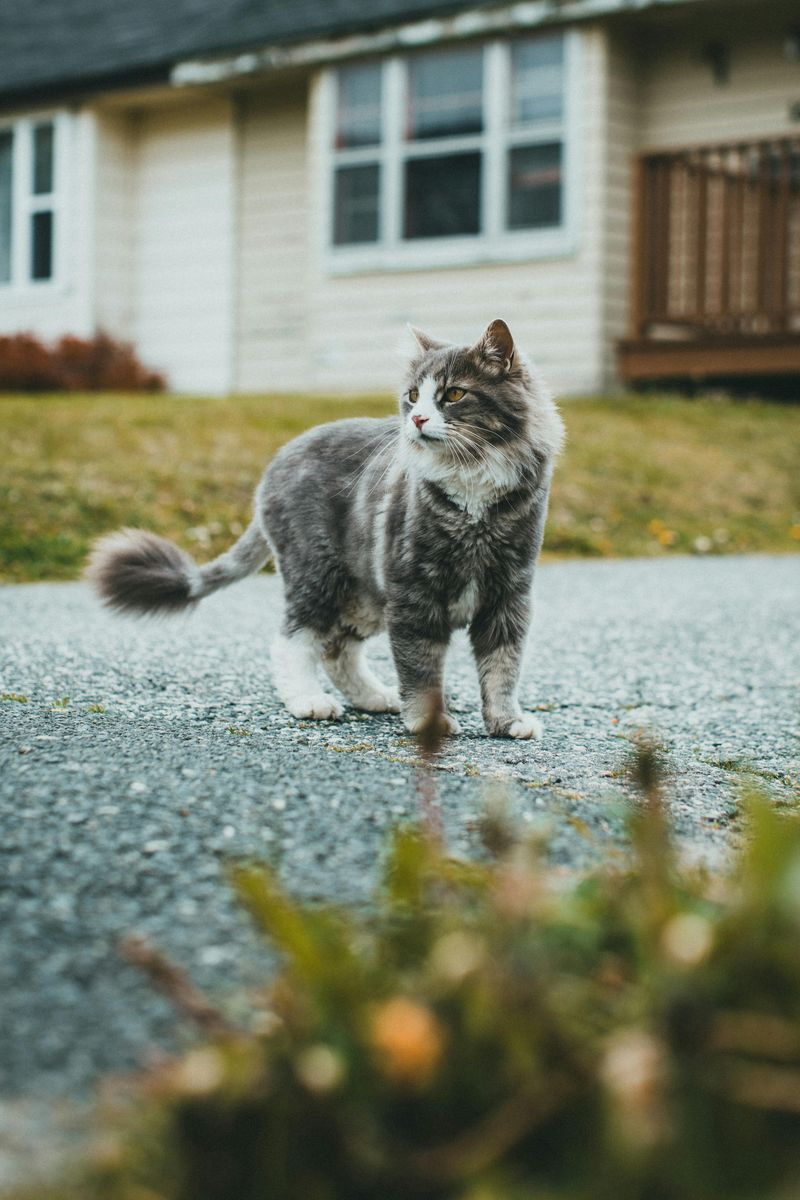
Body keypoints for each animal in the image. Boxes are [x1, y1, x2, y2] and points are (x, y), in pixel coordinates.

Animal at [89, 321, 563, 739]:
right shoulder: (413, 595)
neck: (472, 496)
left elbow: (502, 669)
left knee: (339, 650)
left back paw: (376, 697)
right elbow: (422, 669)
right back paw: (309, 701)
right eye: (413, 396)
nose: (418, 420)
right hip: (317, 573)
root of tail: (278, 459)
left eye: (454, 394)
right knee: (293, 640)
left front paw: (507, 722)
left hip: (363, 593)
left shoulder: (508, 596)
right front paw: (430, 723)